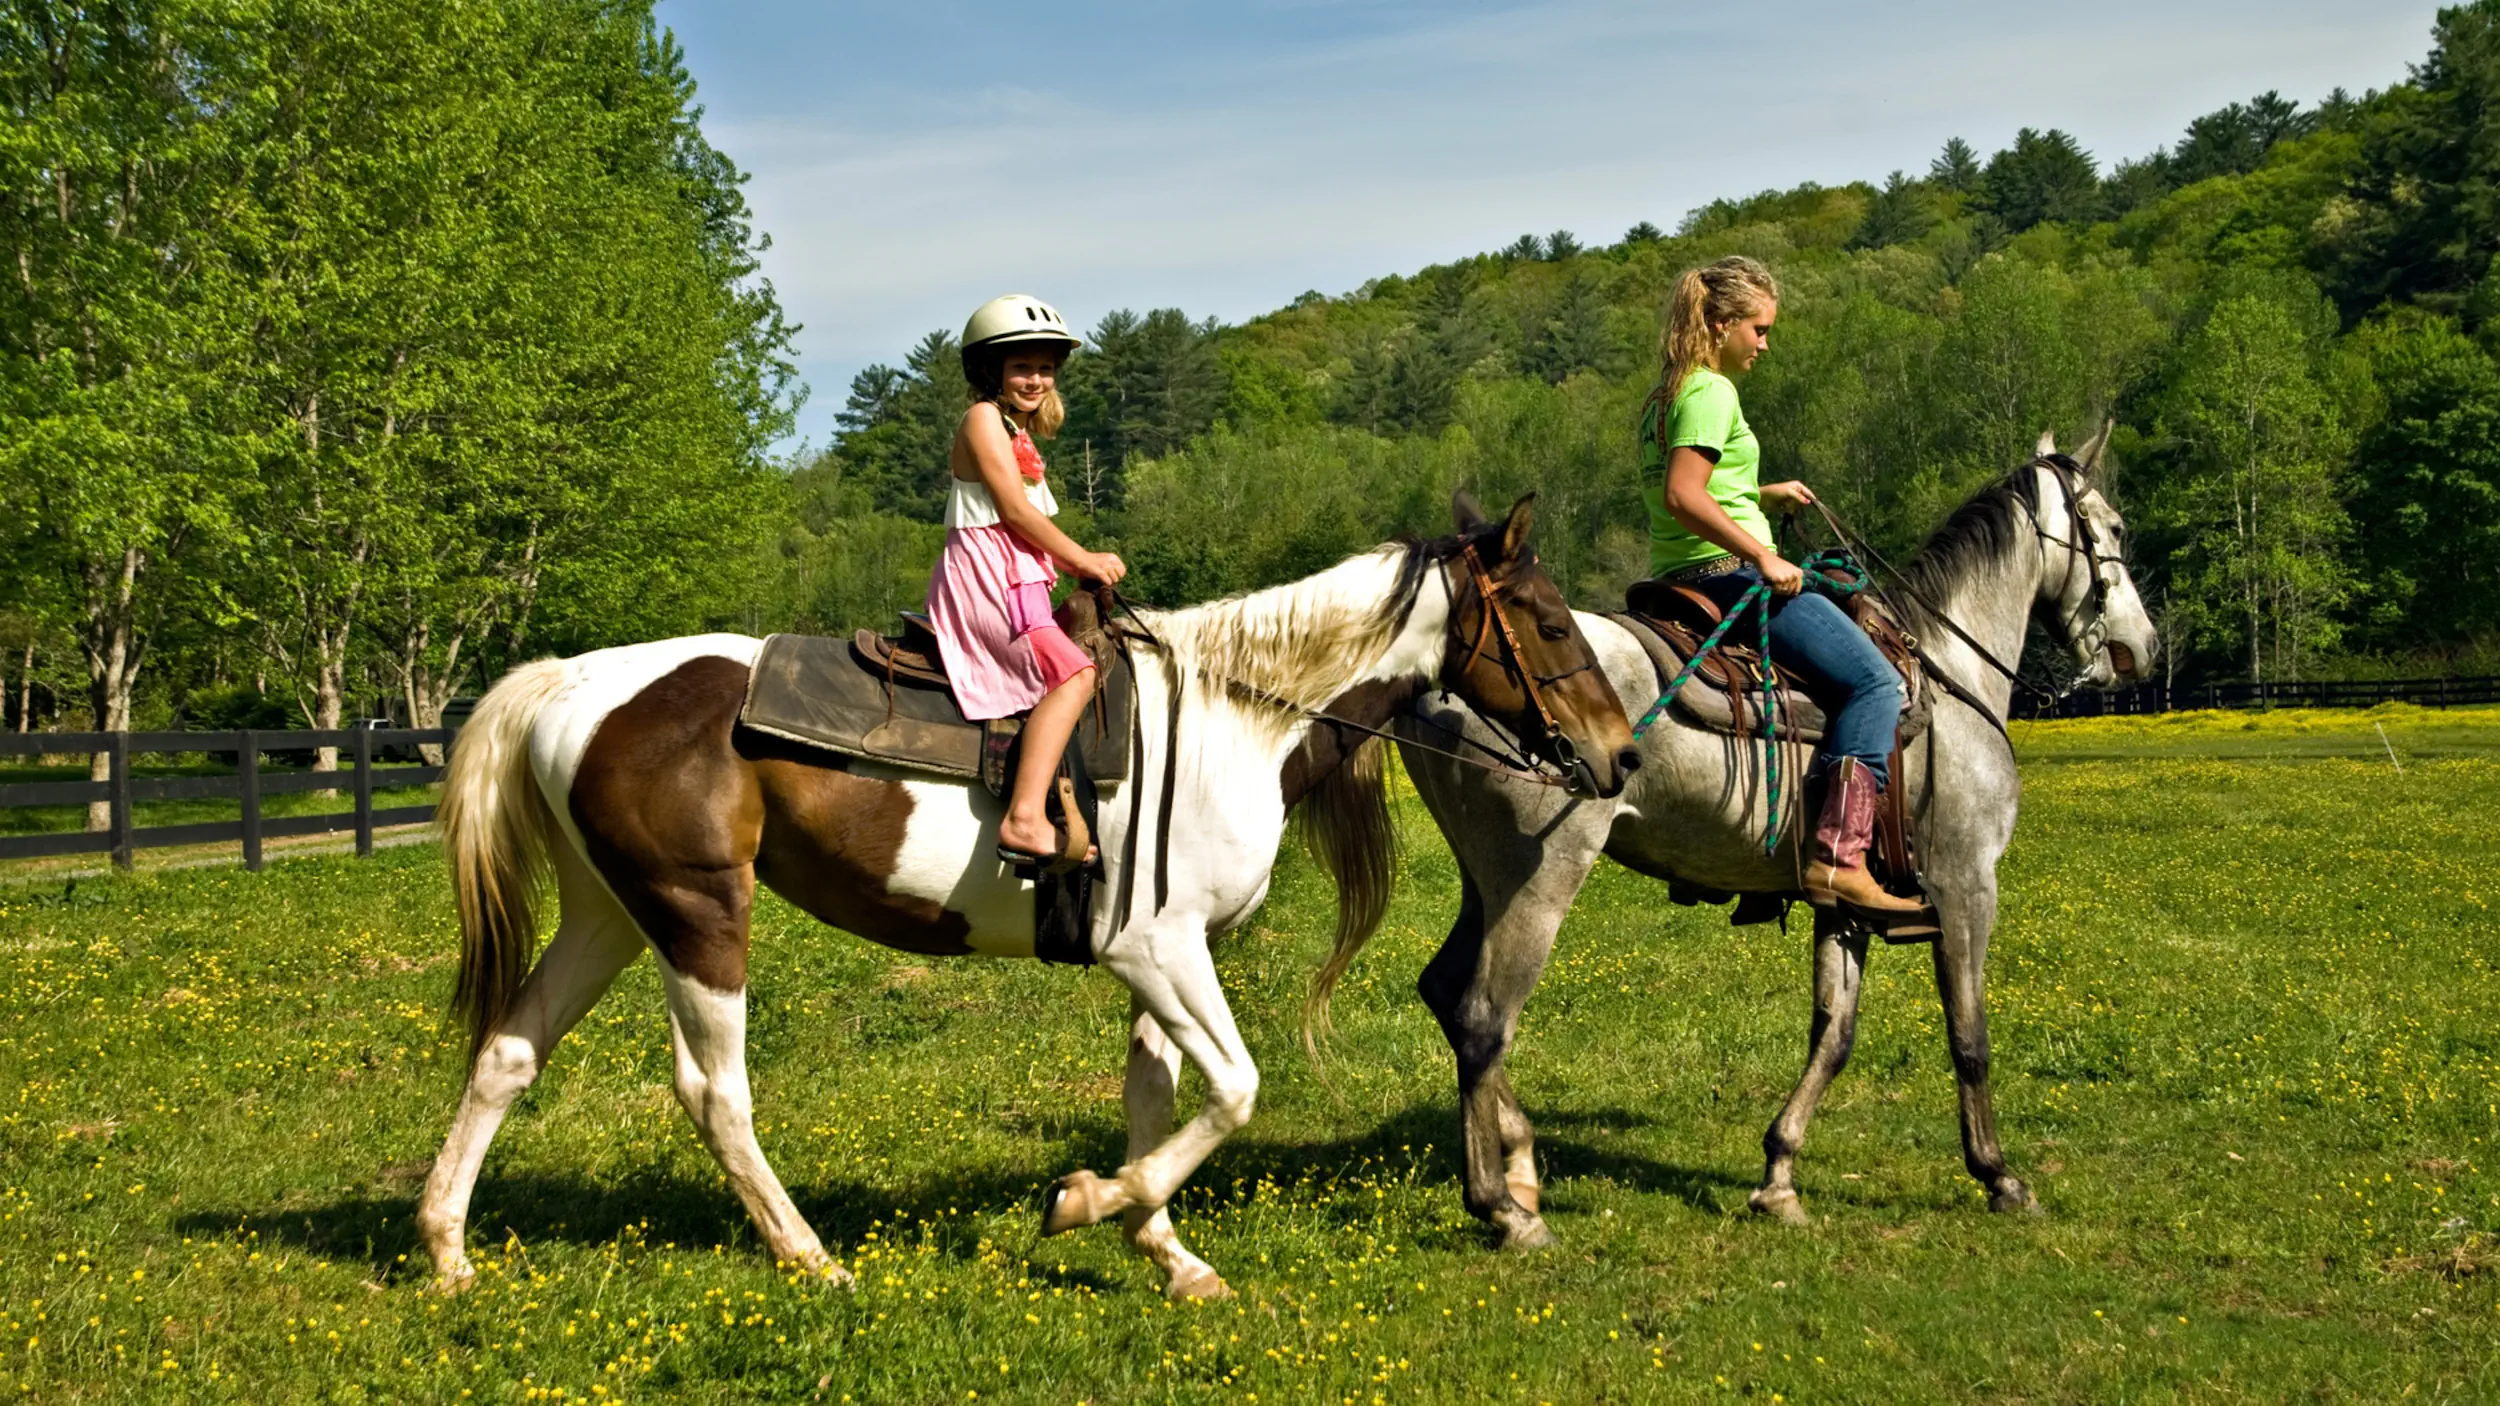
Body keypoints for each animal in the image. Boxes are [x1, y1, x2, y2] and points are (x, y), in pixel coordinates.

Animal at [414, 493, 1642, 1300]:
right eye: (1547, 622)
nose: (1620, 755)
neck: (1235, 716)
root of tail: (571, 683)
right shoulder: (1160, 949)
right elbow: (1233, 1091)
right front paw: (1089, 1203)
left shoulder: (1161, 959)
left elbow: (1159, 1096)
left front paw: (1164, 1250)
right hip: (698, 914)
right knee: (714, 1093)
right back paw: (810, 1255)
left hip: (610, 914)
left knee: (508, 1053)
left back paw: (447, 1248)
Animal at [1393, 431, 2160, 1248]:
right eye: (2113, 529)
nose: (2142, 649)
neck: (1948, 677)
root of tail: (1440, 680)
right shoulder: (1966, 886)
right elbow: (1970, 1037)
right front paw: (1999, 1175)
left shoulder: (1847, 902)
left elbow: (1834, 1034)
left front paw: (1779, 1175)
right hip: (1538, 879)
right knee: (1483, 1019)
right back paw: (1504, 1206)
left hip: (1487, 880)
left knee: (1446, 993)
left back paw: (1520, 1164)